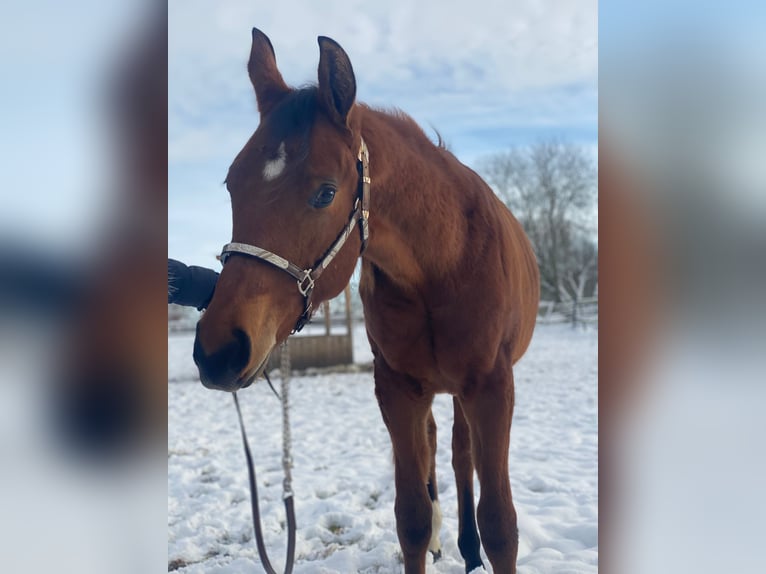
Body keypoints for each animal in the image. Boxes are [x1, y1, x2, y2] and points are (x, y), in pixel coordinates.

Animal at [193, 28, 539, 574]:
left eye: (325, 192)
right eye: (232, 184)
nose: (219, 350)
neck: (442, 266)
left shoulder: (491, 387)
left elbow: (501, 524)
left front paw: (480, 543)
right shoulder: (396, 388)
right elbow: (411, 518)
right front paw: (429, 532)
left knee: (461, 452)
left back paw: (467, 548)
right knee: (437, 444)